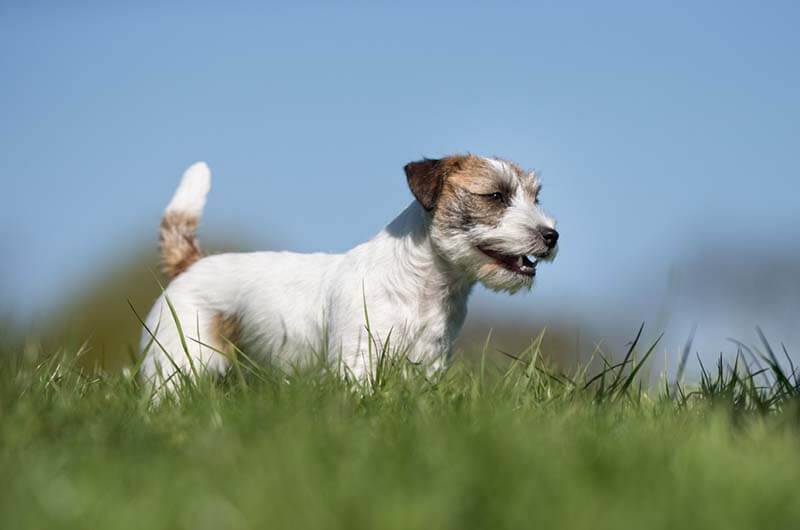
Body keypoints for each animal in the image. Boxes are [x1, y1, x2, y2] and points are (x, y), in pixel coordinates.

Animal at [139, 153, 556, 388]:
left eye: (536, 197)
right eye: (496, 196)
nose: (551, 235)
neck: (421, 285)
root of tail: (191, 264)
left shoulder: (430, 361)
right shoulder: (359, 358)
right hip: (177, 357)